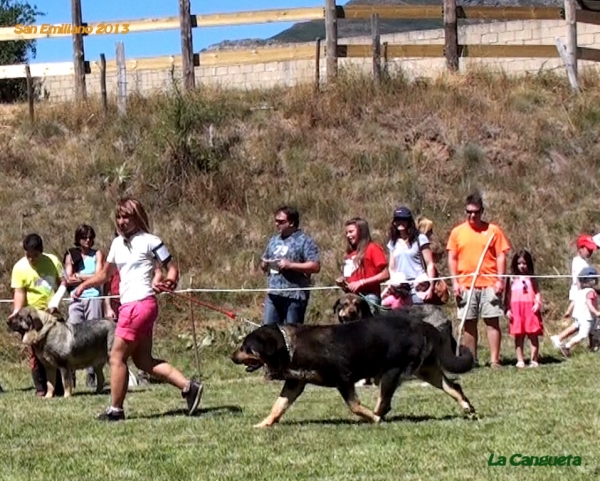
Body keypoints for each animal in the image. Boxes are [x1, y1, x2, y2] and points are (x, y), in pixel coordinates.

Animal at [232, 312, 476, 428]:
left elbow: (355, 406)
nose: (231, 357)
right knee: (454, 386)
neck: (289, 346)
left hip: (390, 372)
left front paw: (370, 418)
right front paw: (264, 424)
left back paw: (375, 417)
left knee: (383, 403)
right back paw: (468, 408)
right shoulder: (295, 383)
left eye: (246, 347)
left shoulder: (344, 379)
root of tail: (424, 325)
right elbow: (278, 407)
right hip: (426, 370)